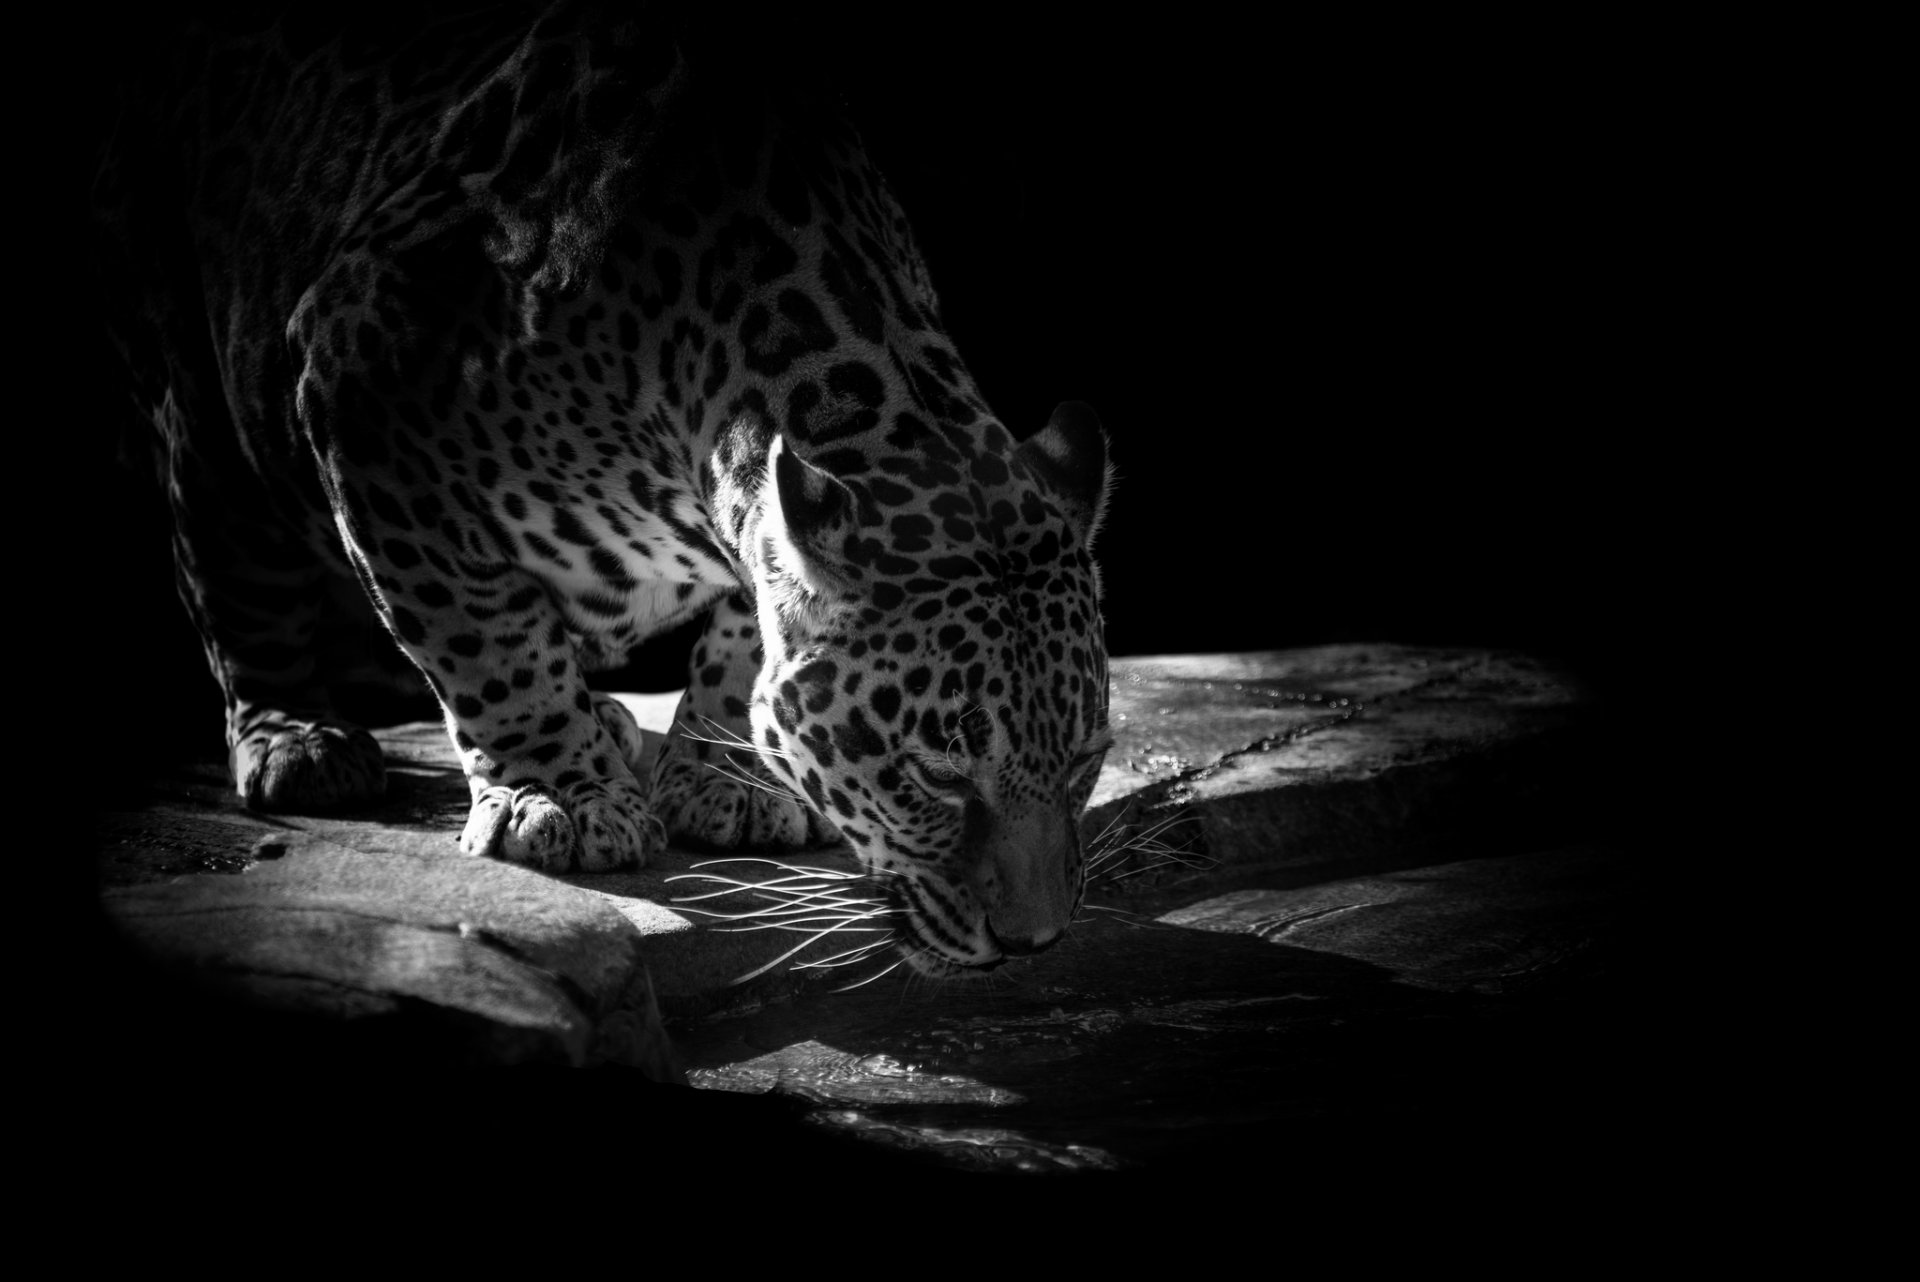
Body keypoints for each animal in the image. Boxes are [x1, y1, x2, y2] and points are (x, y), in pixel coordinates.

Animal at [92, 3, 1114, 977]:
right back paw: (301, 739)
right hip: (197, 382)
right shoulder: (361, 383)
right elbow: (486, 641)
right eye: (935, 775)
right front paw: (557, 793)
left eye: (1084, 762)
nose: (1035, 941)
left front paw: (730, 776)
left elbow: (745, 634)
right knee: (233, 568)